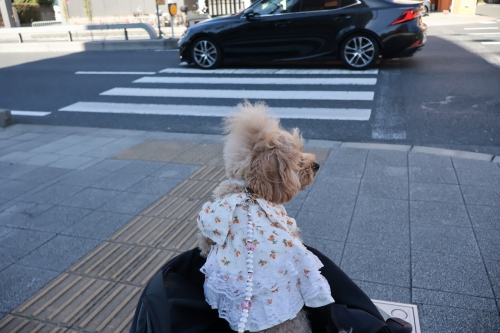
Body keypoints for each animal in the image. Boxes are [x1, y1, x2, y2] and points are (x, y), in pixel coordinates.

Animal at [195, 102, 336, 332]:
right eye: (296, 160)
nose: (316, 165)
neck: (249, 190)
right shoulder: (286, 220)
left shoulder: (208, 221)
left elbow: (205, 242)